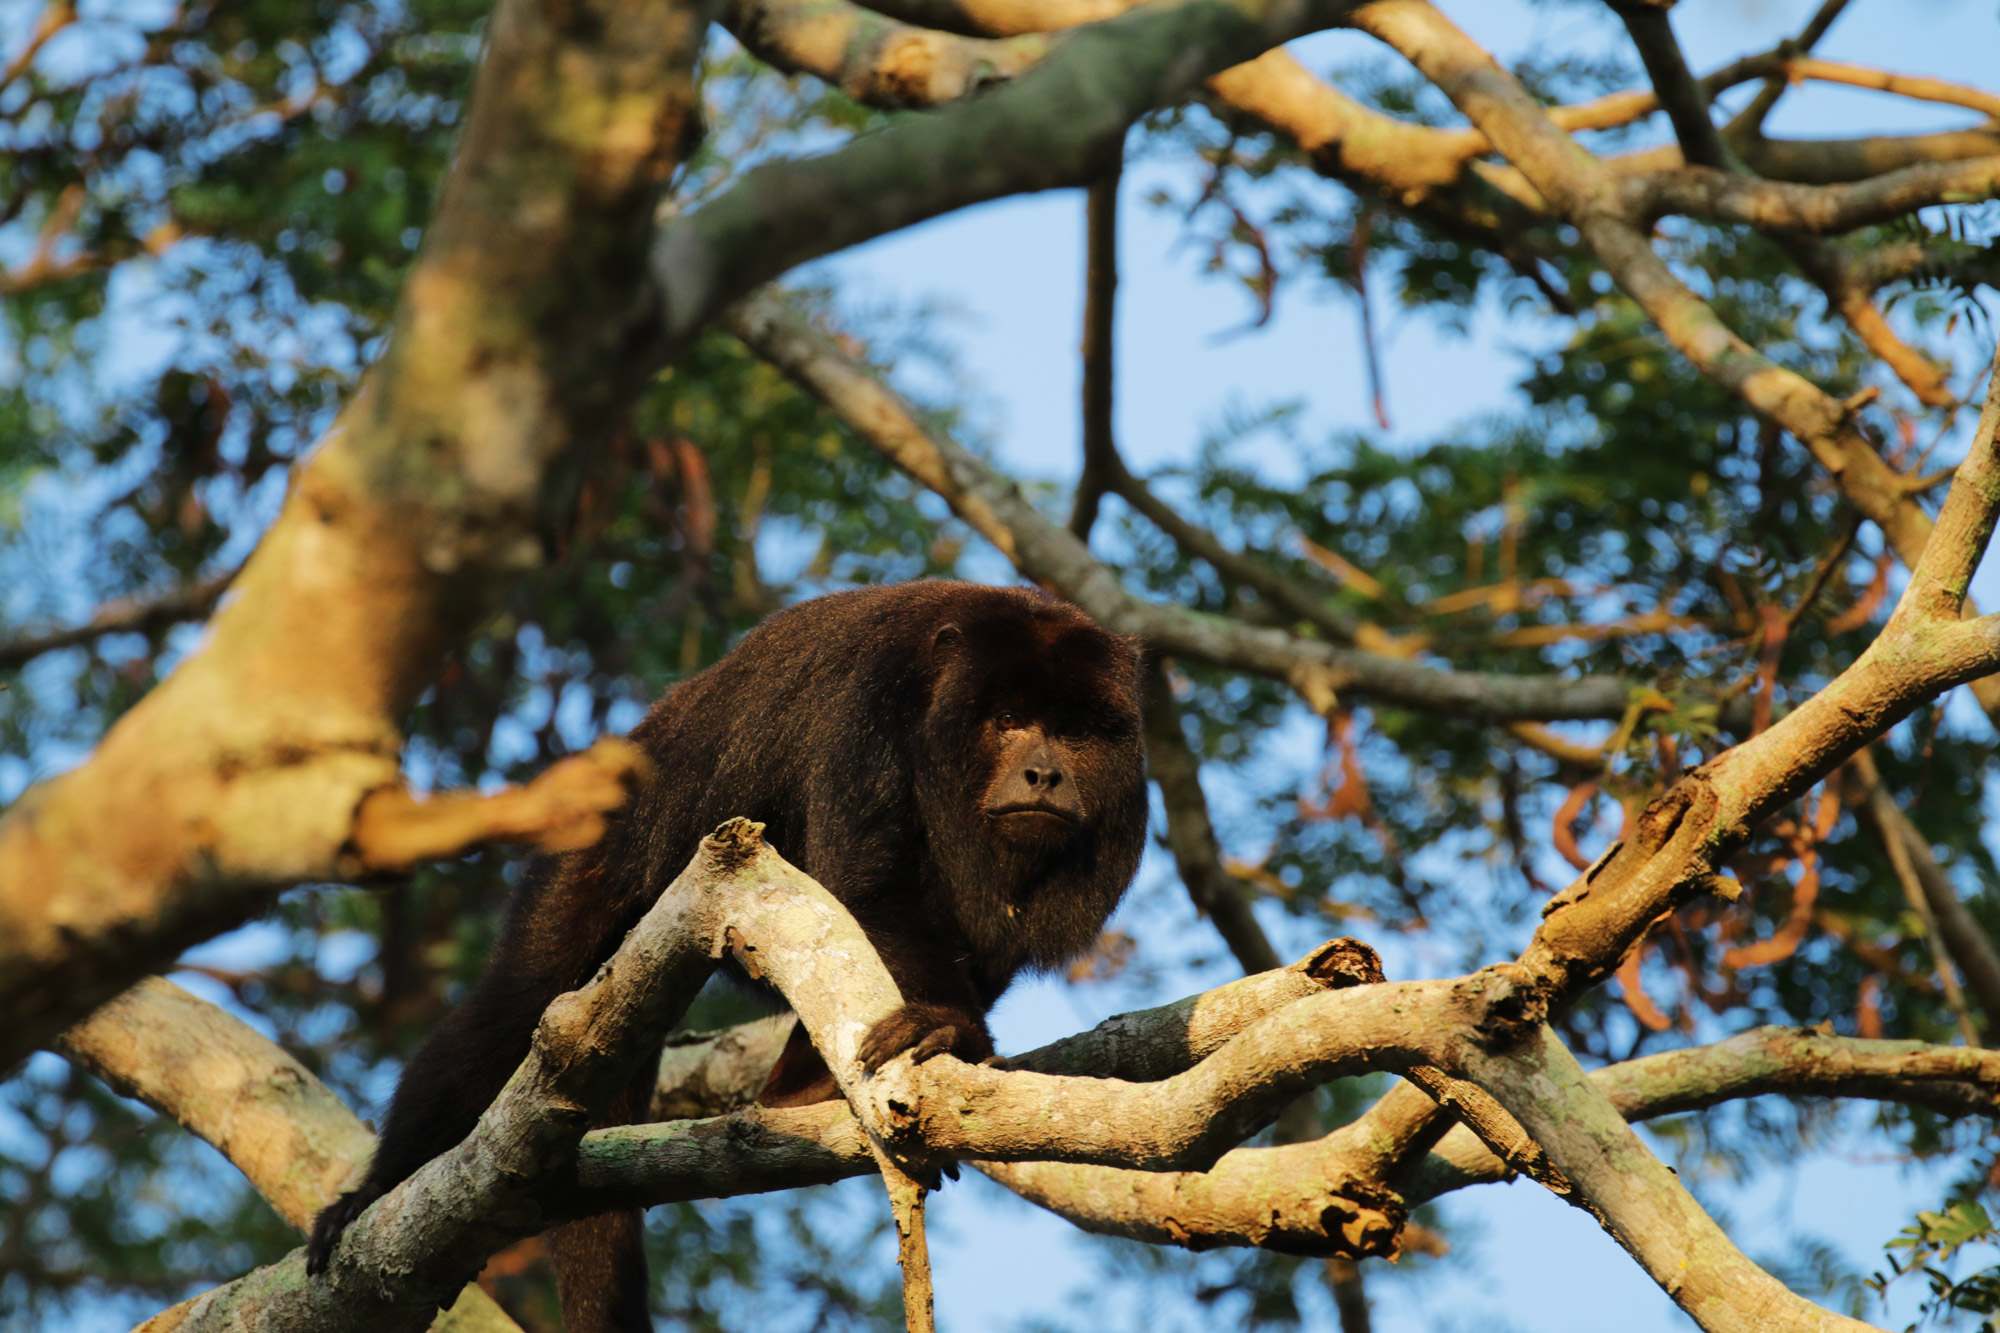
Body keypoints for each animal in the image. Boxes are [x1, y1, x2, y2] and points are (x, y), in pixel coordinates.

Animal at [314, 580, 1160, 1328]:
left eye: (1075, 732)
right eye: (1010, 719)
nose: (1044, 772)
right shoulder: (872, 712)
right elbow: (868, 886)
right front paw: (945, 1027)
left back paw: (800, 1086)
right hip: (595, 852)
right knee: (516, 999)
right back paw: (375, 1192)